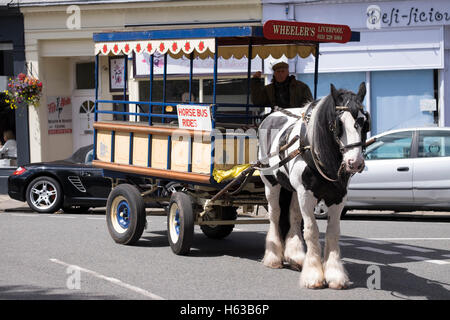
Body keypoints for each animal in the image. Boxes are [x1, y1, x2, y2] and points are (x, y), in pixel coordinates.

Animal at [256, 82, 370, 290]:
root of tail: (271, 115)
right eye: (339, 123)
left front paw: (334, 274)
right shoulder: (307, 195)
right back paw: (273, 257)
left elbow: (333, 232)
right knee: (275, 215)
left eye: (364, 121)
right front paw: (313, 275)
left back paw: (295, 255)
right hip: (271, 183)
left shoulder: (338, 197)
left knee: (293, 215)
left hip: (294, 190)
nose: (355, 162)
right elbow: (311, 231)